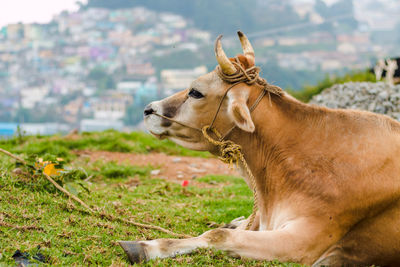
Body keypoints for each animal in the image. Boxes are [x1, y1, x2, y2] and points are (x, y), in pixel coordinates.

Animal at [118, 31, 400, 267]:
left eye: (196, 92)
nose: (148, 109)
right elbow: (216, 231)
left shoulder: (304, 241)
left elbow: (217, 235)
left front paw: (146, 248)